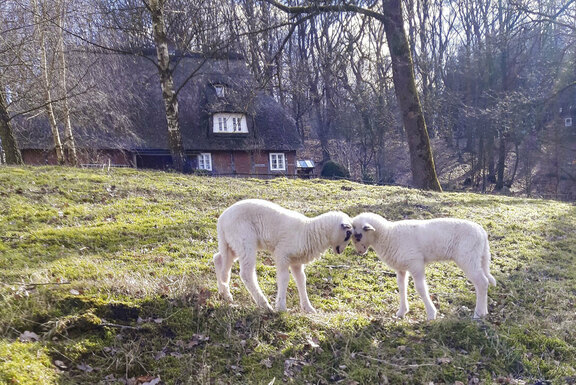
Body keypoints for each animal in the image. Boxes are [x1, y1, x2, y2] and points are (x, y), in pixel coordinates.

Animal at [214, 198, 354, 312]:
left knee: (219, 259)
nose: (341, 251)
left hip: (232, 243)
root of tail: (221, 220)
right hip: (244, 241)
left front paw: (308, 308)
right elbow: (284, 278)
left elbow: (301, 280)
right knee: (246, 273)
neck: (308, 231)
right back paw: (264, 305)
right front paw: (281, 307)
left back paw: (225, 294)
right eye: (348, 234)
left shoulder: (297, 261)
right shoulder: (282, 254)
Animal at [352, 212, 496, 320]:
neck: (387, 235)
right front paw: (402, 311)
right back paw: (484, 311)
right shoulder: (401, 268)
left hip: (468, 257)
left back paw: (479, 313)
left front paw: (431, 314)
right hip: (479, 257)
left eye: (358, 236)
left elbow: (421, 288)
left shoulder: (416, 263)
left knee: (482, 282)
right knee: (486, 279)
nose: (359, 252)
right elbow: (402, 287)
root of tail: (482, 233)